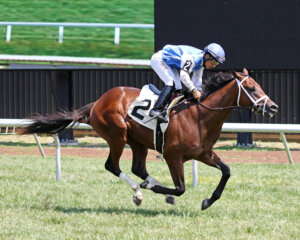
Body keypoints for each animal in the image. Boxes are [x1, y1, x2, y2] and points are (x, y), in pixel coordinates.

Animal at [20, 68, 278, 210]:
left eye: (258, 85)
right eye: (252, 89)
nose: (273, 107)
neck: (200, 115)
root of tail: (97, 103)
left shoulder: (204, 153)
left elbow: (226, 171)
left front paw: (208, 200)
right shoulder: (173, 156)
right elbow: (181, 188)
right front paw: (159, 191)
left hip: (138, 142)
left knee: (138, 168)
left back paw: (148, 187)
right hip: (117, 134)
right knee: (112, 165)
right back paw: (139, 190)